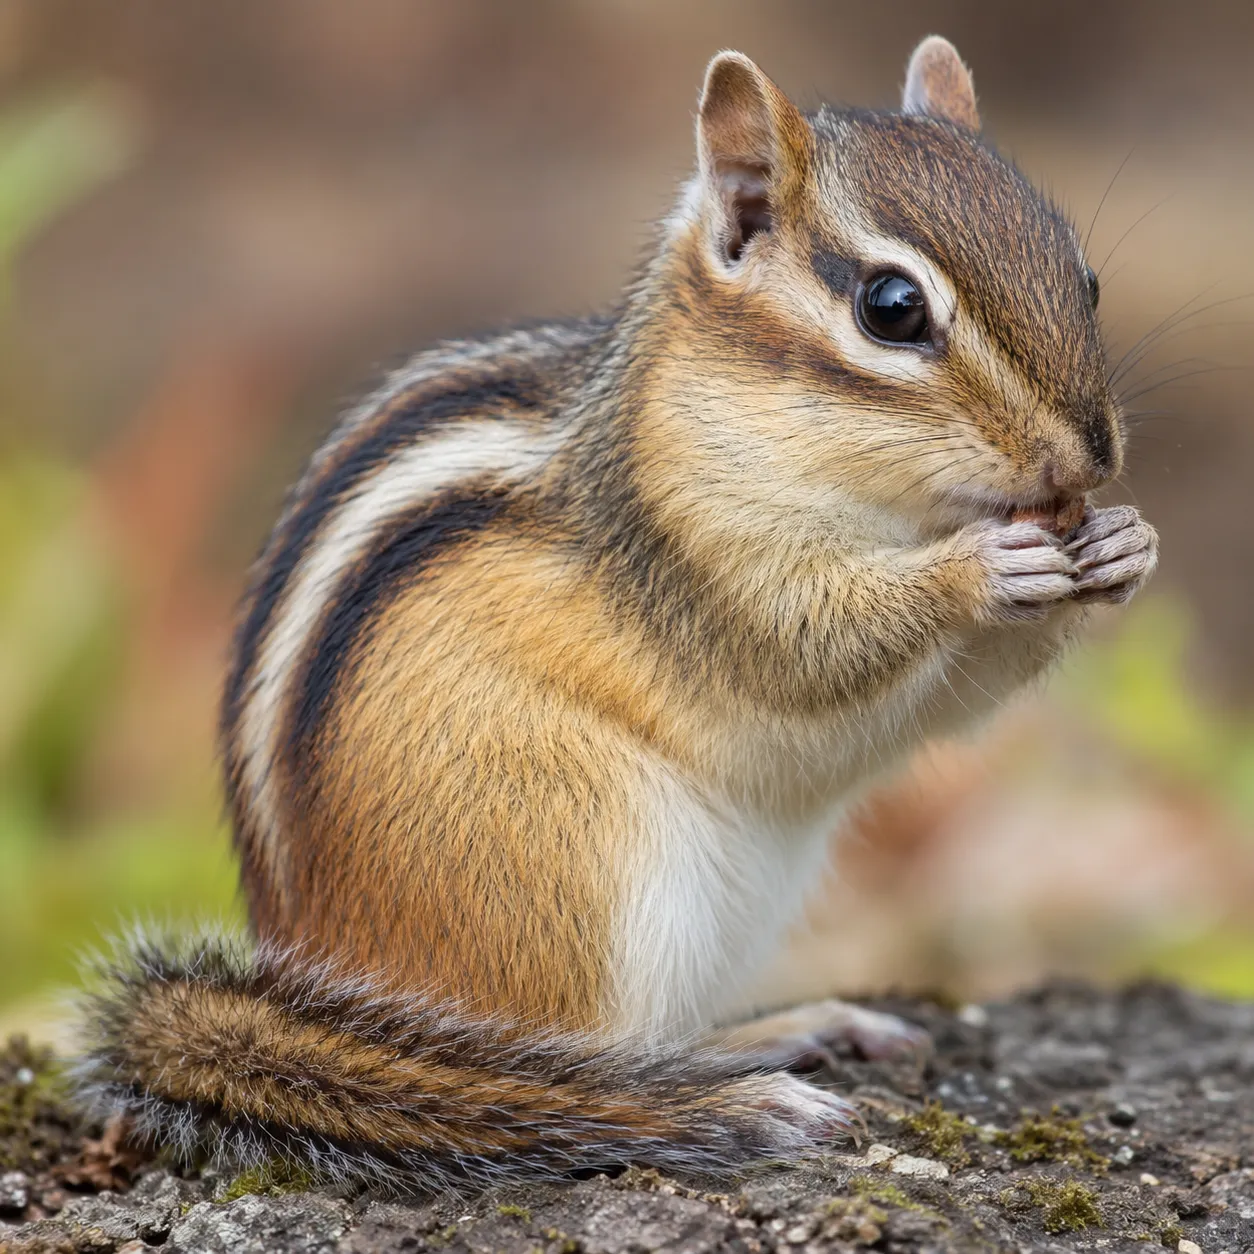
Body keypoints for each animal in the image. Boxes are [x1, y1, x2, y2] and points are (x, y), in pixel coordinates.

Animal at [75, 36, 1158, 1195]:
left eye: (1087, 278)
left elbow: (956, 698)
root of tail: (311, 984)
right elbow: (806, 646)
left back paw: (798, 1027)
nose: (1088, 461)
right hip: (582, 862)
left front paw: (1124, 545)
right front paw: (979, 569)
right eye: (892, 308)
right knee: (572, 1074)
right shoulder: (697, 556)